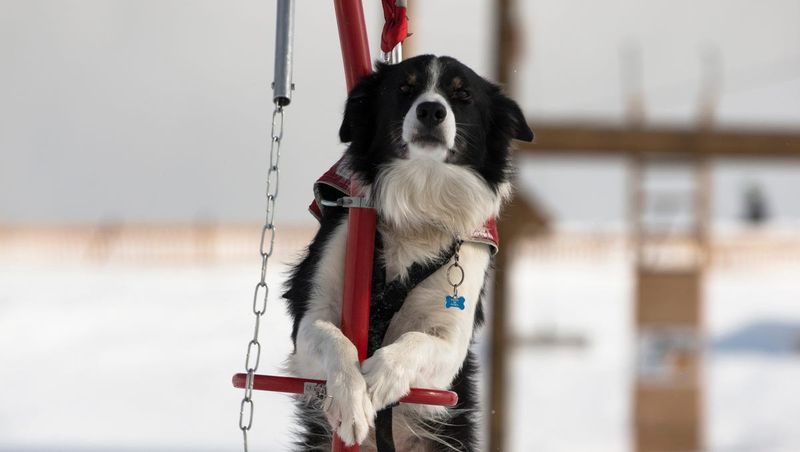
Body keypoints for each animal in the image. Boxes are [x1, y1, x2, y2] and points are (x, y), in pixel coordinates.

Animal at [284, 54, 536, 450]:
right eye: (404, 88)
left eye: (462, 95)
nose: (431, 109)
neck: (419, 200)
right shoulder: (312, 309)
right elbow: (336, 341)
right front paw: (351, 401)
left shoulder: (452, 341)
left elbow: (417, 340)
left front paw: (377, 380)